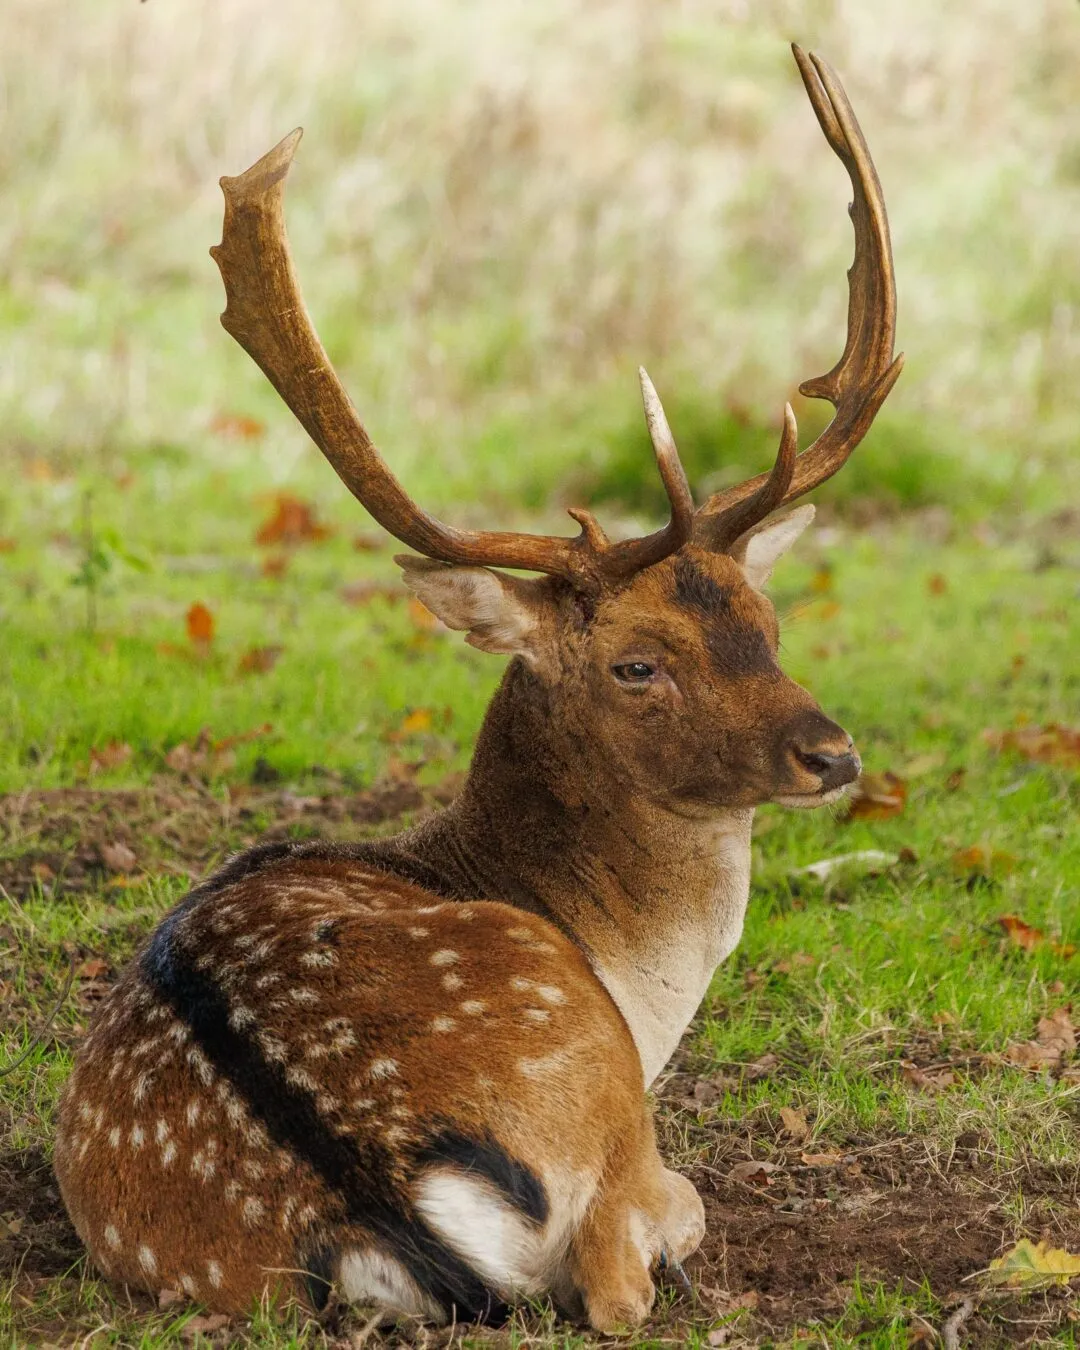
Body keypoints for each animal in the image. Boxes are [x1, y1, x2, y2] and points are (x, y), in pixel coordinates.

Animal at [54, 45, 901, 1334]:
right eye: (637, 663)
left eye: (767, 621)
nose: (834, 752)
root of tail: (373, 1192)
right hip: (583, 1071)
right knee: (618, 1274)